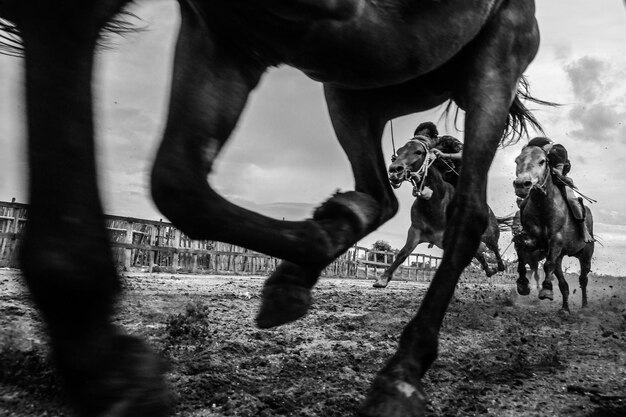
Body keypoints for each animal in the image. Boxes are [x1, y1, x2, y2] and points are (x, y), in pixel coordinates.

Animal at [368, 138, 504, 288]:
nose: (394, 170)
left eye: (418, 152)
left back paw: (499, 267)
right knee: (481, 256)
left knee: (496, 251)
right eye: (398, 152)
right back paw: (490, 271)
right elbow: (402, 254)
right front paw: (383, 278)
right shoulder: (415, 231)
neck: (436, 204)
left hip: (490, 237)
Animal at [510, 145, 592, 310]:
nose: (522, 184)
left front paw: (546, 290)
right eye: (517, 160)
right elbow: (523, 257)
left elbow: (548, 264)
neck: (543, 207)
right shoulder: (531, 240)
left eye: (542, 161)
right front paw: (522, 285)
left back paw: (585, 305)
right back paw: (565, 309)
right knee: (563, 284)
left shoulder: (556, 241)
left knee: (583, 279)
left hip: (586, 255)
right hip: (561, 257)